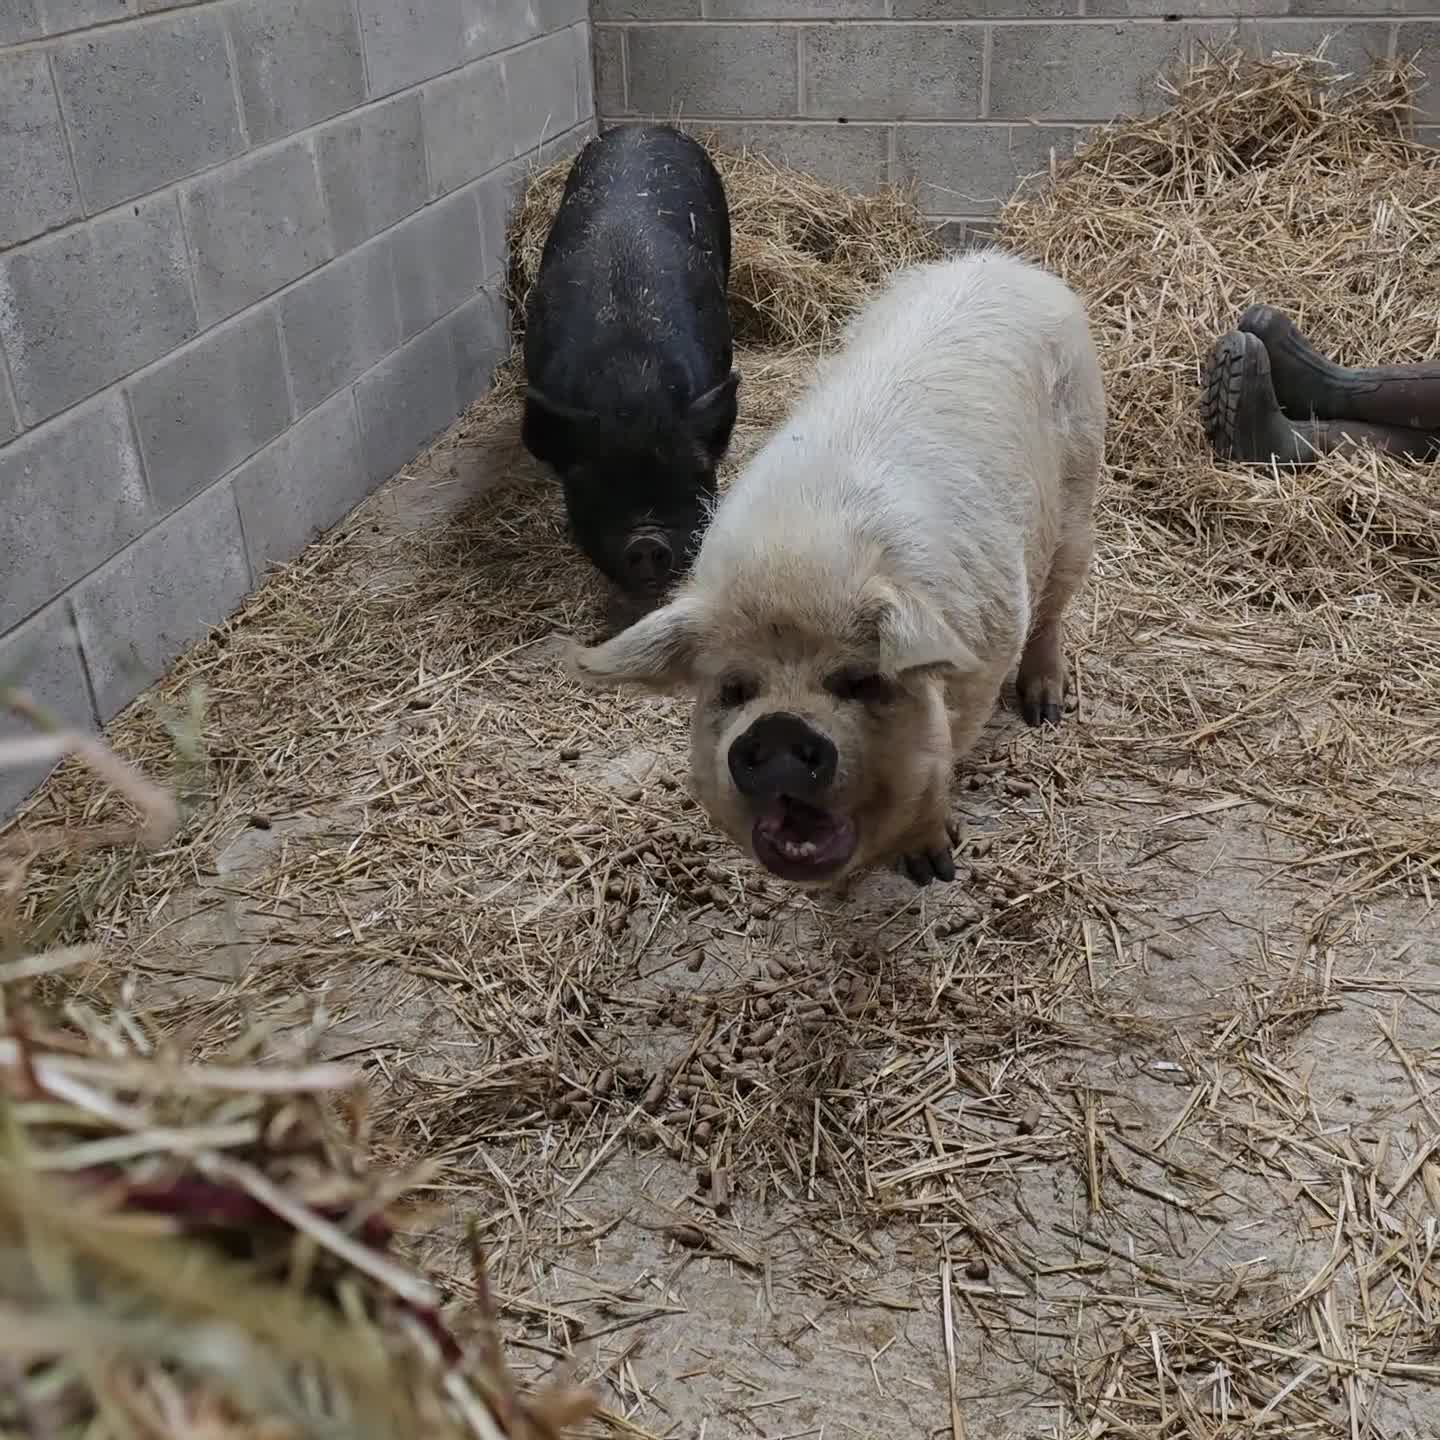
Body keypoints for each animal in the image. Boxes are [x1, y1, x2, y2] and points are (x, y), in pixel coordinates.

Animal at [568, 249, 1105, 889]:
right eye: (733, 688)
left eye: (859, 681)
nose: (779, 727)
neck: (799, 557)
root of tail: (1006, 263)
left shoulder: (985, 659)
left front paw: (934, 870)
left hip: (1079, 494)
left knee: (1055, 605)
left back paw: (1045, 710)